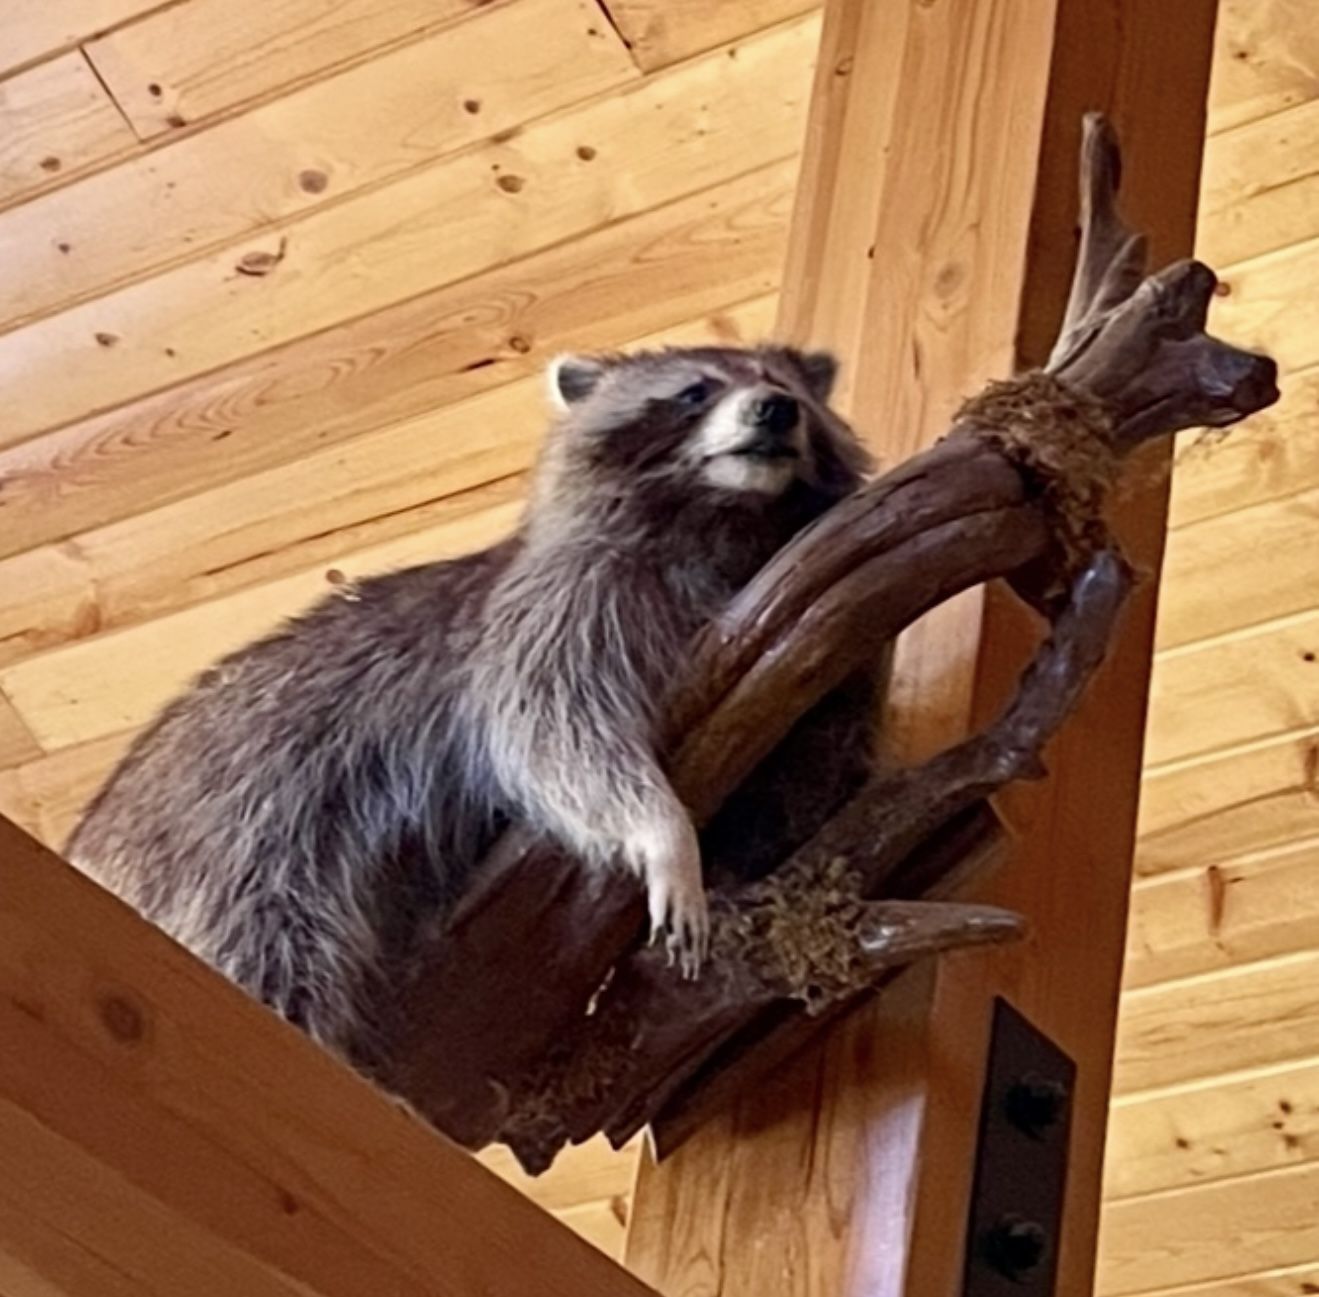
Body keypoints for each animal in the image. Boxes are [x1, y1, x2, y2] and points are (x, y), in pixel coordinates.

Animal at [67, 345, 875, 1065]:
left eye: (783, 386)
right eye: (696, 391)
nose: (773, 409)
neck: (726, 515)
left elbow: (804, 760)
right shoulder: (551, 606)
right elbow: (552, 733)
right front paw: (662, 830)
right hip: (229, 843)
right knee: (270, 949)